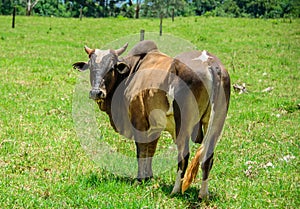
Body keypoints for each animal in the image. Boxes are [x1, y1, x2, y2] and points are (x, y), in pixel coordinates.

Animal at [72, 40, 230, 198]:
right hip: (215, 125)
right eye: (91, 66)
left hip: (184, 125)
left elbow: (141, 152)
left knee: (183, 157)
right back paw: (203, 194)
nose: (96, 92)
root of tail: (210, 64)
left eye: (111, 67)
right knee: (207, 158)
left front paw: (139, 179)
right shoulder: (154, 127)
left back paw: (175, 190)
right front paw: (148, 177)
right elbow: (150, 151)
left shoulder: (139, 123)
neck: (131, 72)